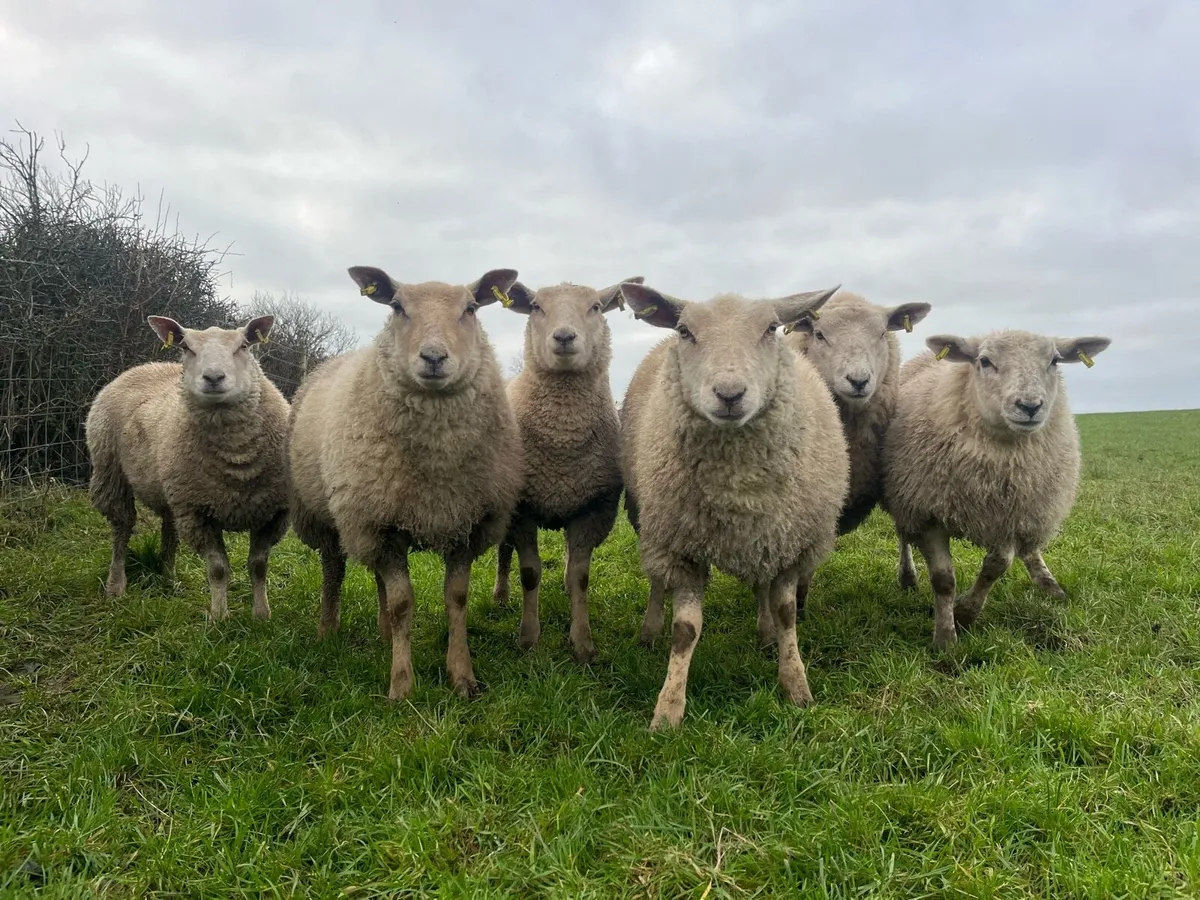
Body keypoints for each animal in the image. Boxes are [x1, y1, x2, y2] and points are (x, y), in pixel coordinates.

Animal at [84, 315, 289, 620]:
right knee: (122, 529)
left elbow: (259, 566)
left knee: (169, 528)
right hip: (111, 471)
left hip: (171, 488)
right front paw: (219, 617)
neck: (238, 461)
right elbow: (218, 569)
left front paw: (262, 615)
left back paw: (168, 577)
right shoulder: (197, 512)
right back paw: (116, 586)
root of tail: (147, 365)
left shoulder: (273, 514)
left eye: (243, 345)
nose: (214, 378)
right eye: (186, 348)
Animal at [287, 265, 524, 700]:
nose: (433, 357)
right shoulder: (377, 524)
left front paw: (462, 676)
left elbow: (456, 599)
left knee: (377, 578)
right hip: (331, 516)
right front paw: (401, 685)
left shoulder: (465, 522)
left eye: (471, 308)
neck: (438, 461)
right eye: (397, 307)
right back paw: (328, 630)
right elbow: (403, 604)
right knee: (334, 570)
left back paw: (383, 634)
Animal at [491, 275, 643, 663]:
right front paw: (529, 639)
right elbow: (530, 573)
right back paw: (500, 596)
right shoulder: (521, 508)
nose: (563, 337)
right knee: (504, 552)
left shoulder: (594, 507)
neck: (562, 439)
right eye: (535, 307)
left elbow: (580, 576)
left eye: (595, 307)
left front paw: (583, 643)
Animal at [619, 281, 848, 729]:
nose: (729, 395)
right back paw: (648, 631)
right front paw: (668, 709)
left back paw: (765, 633)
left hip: (765, 535)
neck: (737, 488)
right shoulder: (681, 547)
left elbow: (786, 612)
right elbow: (686, 629)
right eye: (685, 331)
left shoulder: (791, 543)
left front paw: (796, 685)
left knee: (762, 585)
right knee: (656, 581)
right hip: (649, 522)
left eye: (772, 328)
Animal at [882, 330, 1111, 649]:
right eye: (984, 361)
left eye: (1054, 361)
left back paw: (1049, 584)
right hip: (903, 497)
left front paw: (966, 612)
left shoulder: (1007, 513)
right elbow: (943, 580)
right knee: (903, 536)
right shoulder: (928, 513)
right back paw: (907, 577)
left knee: (1030, 546)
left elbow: (996, 566)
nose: (1029, 406)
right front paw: (945, 638)